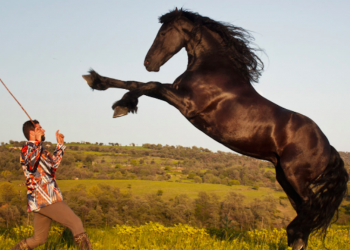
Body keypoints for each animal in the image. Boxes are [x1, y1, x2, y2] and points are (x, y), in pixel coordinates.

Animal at [82, 8, 348, 249]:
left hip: (295, 176)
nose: (149, 63)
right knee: (304, 212)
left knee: (311, 207)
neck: (213, 69)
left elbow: (147, 84)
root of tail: (329, 147)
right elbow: (140, 83)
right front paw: (100, 84)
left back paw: (292, 232)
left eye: (164, 32)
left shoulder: (186, 104)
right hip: (284, 176)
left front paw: (119, 103)